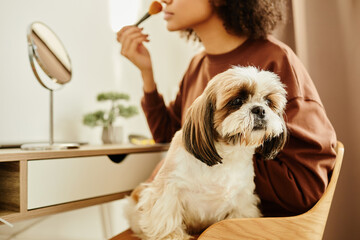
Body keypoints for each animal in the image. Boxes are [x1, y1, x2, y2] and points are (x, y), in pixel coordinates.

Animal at [125, 65, 288, 240]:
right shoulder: (167, 190)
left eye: (268, 102)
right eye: (237, 101)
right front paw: (172, 236)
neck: (226, 155)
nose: (260, 109)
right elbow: (166, 218)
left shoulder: (242, 201)